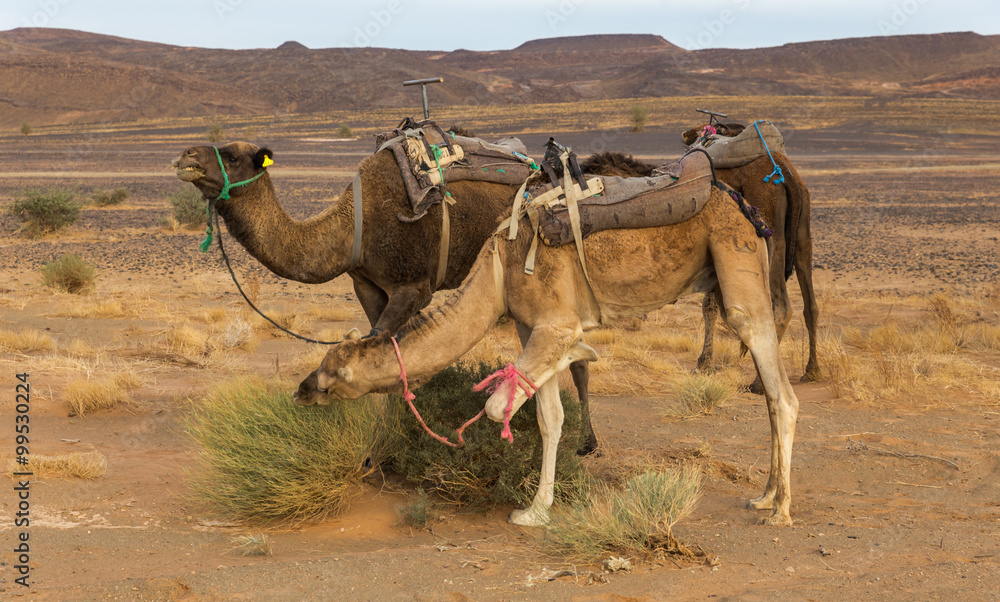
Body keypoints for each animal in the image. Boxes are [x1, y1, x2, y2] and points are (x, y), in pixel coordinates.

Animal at [295, 184, 801, 528]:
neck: (497, 271)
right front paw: (536, 510)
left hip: (736, 264)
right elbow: (548, 416)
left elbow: (497, 405)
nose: (301, 391)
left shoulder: (554, 324)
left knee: (781, 391)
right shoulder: (530, 327)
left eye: (330, 377)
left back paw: (779, 509)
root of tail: (745, 207)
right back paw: (764, 494)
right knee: (772, 393)